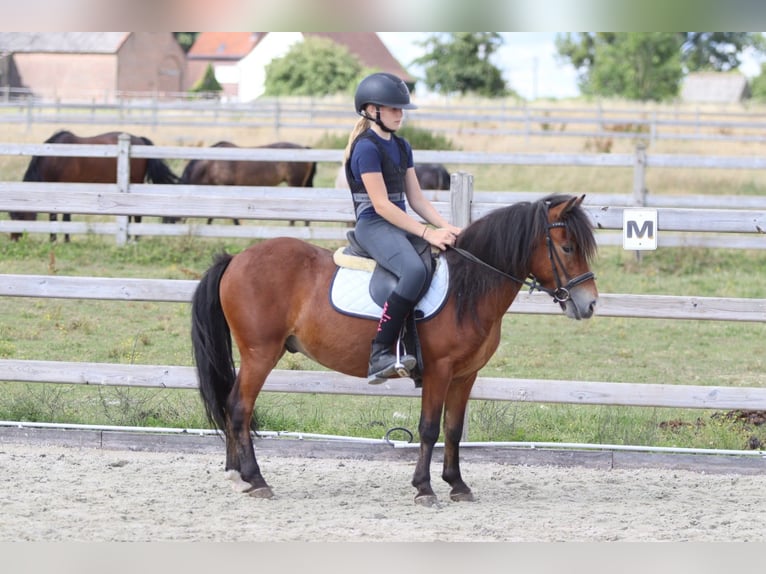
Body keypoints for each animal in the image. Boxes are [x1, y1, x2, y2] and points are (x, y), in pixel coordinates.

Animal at [10, 130, 180, 242]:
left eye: (18, 216)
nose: (14, 239)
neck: (56, 159)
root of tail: (139, 140)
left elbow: (65, 217)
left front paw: (64, 240)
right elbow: (54, 216)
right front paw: (55, 239)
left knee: (137, 215)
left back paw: (135, 240)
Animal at [190, 193, 599, 505]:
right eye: (566, 247)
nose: (590, 303)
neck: (468, 286)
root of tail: (236, 259)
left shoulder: (465, 375)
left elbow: (453, 429)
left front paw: (458, 485)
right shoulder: (439, 370)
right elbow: (429, 429)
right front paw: (424, 488)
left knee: (231, 405)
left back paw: (237, 477)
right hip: (261, 353)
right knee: (239, 408)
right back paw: (254, 479)